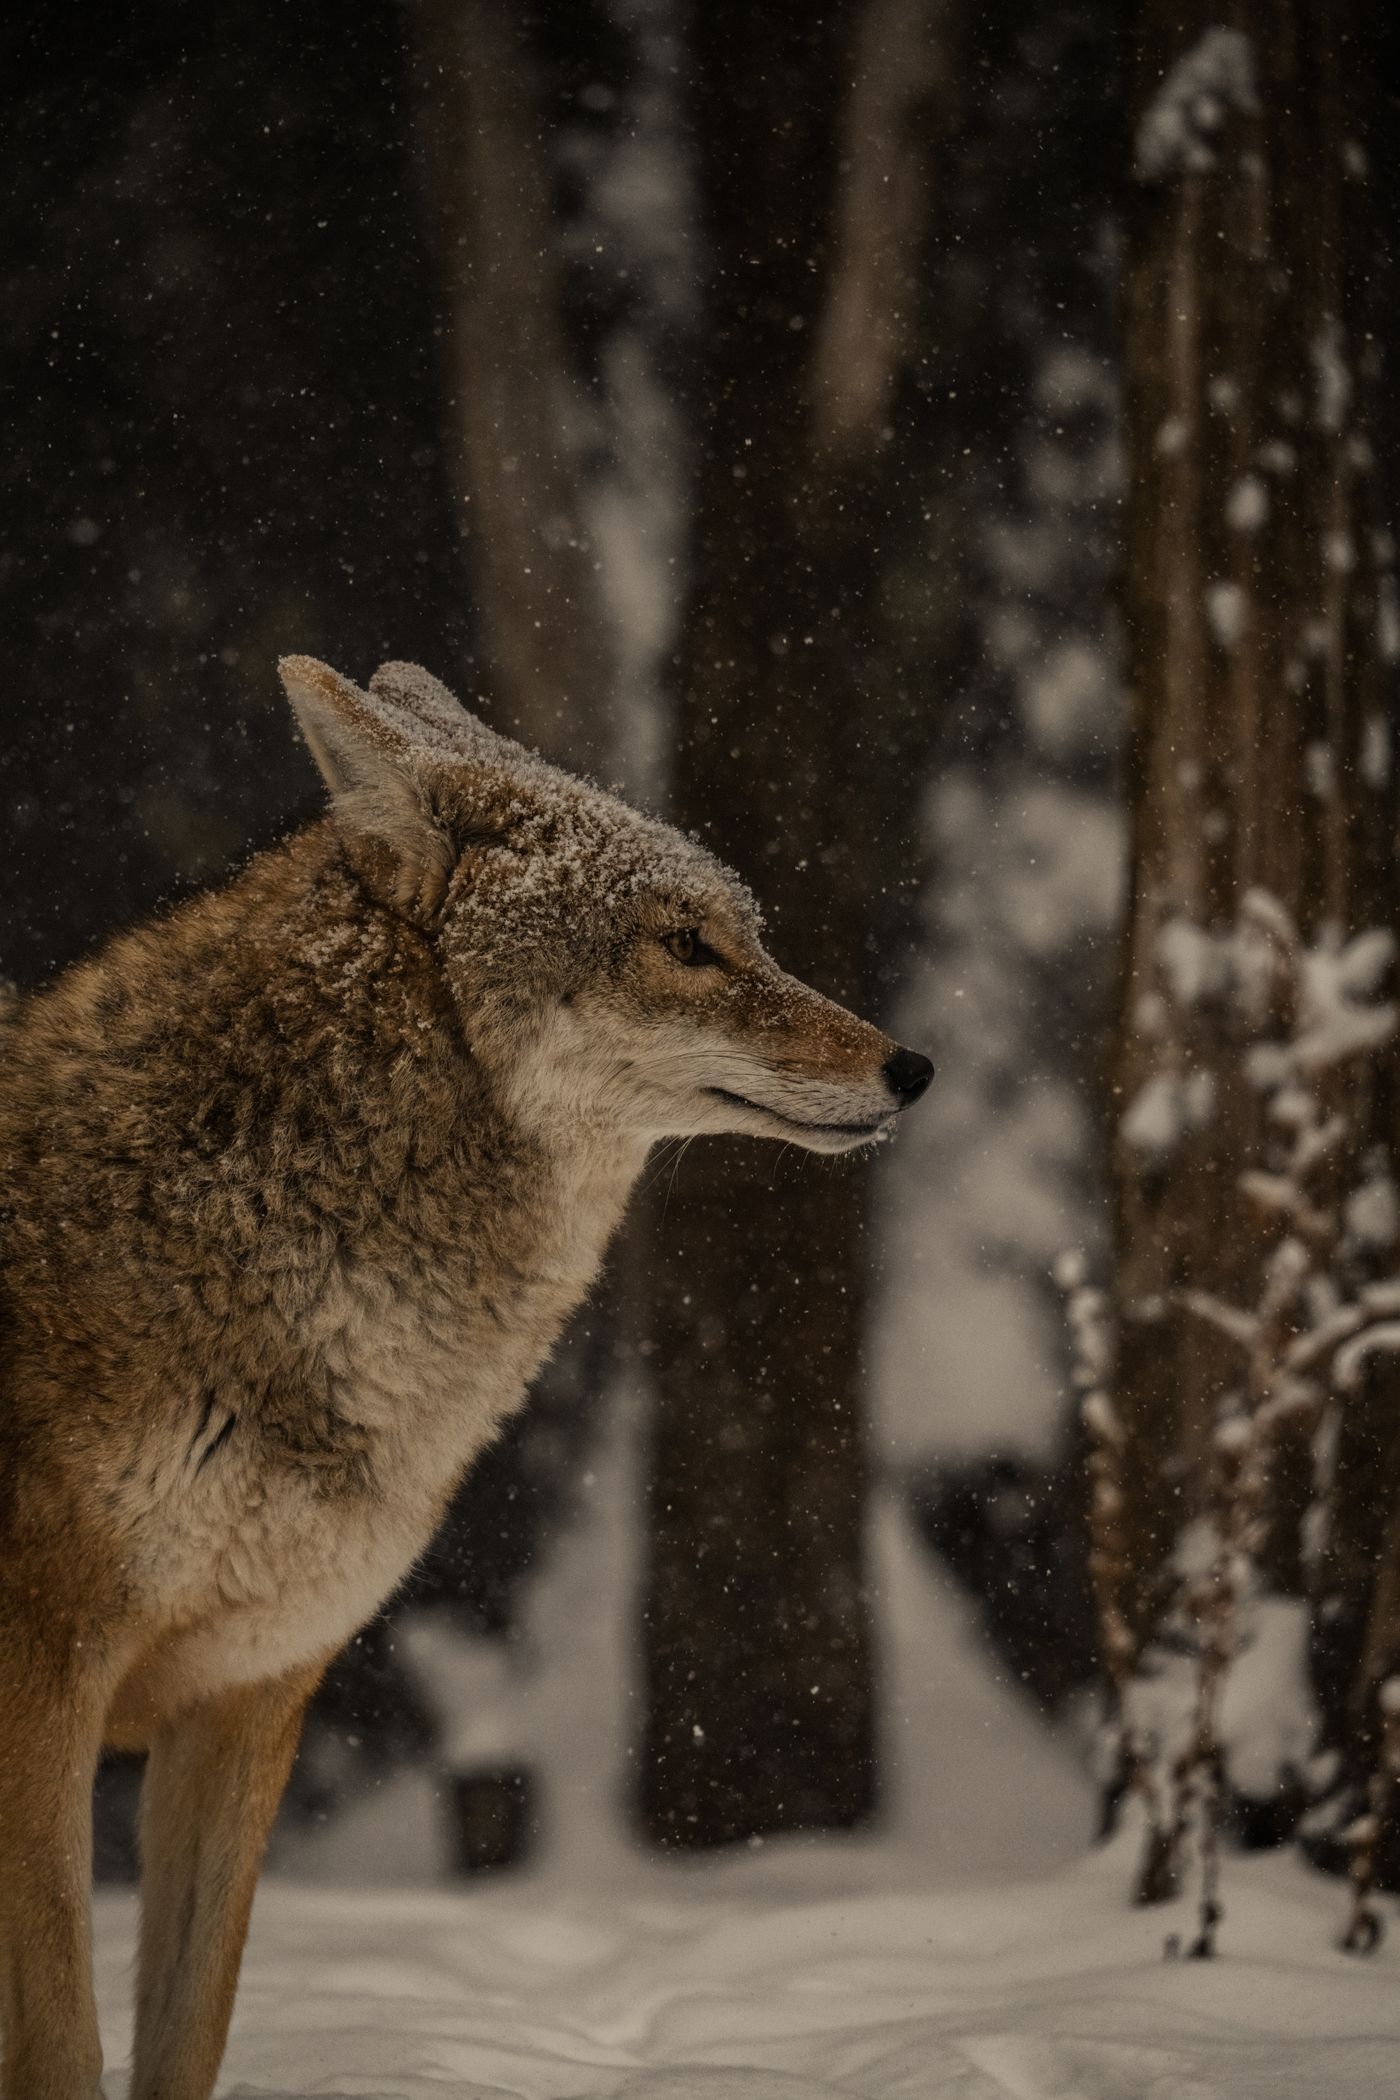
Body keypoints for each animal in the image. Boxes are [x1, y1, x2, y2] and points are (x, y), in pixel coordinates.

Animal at [0, 656, 932, 2098]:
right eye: (685, 946)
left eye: (749, 936)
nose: (911, 1066)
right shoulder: (44, 1689)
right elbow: (58, 2045)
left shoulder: (247, 1703)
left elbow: (183, 2041)